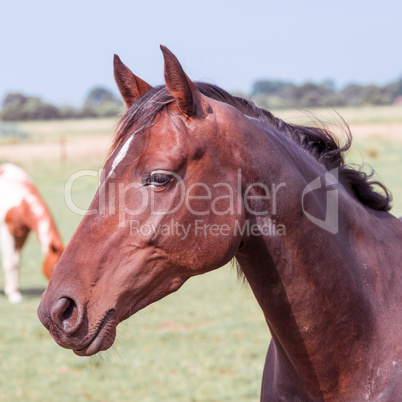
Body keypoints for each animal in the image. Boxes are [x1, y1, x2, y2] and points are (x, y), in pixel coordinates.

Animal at [0, 163, 64, 302]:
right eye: (52, 268)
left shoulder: (22, 234)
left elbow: (17, 261)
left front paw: (14, 291)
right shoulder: (6, 232)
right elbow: (10, 262)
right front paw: (12, 295)